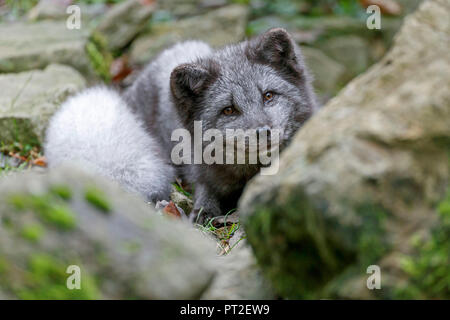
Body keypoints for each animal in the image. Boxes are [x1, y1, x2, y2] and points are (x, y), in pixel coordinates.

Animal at [125, 28, 318, 220]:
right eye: (228, 110)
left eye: (268, 96)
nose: (263, 132)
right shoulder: (202, 172)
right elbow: (205, 189)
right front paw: (204, 210)